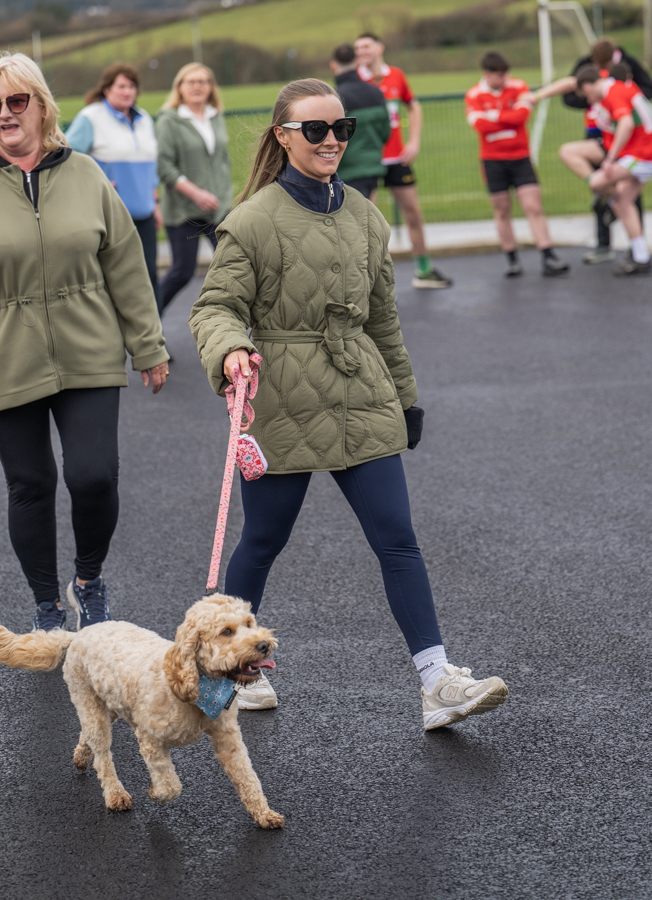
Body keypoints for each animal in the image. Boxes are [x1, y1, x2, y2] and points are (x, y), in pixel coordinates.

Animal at [0, 593, 284, 829]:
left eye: (249, 622)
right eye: (226, 631)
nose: (264, 645)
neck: (197, 687)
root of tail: (79, 634)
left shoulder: (228, 736)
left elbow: (247, 777)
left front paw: (264, 814)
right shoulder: (151, 740)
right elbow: (171, 786)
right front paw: (154, 792)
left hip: (110, 703)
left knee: (87, 734)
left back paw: (81, 756)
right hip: (87, 698)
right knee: (102, 753)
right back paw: (115, 794)